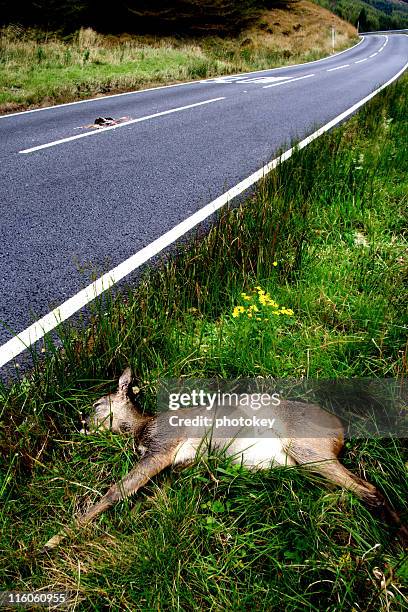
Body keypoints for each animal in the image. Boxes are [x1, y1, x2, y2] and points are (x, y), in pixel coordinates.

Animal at [43, 368, 406, 548]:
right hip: (308, 464)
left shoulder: (164, 446)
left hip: (306, 447)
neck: (142, 428)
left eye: (96, 405)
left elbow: (116, 491)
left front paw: (54, 539)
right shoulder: (180, 463)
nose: (79, 422)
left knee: (369, 489)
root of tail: (342, 428)